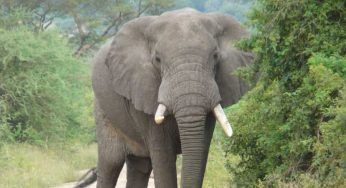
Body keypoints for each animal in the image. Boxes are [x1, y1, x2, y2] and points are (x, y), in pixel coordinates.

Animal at [89, 7, 253, 188]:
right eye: (157, 59)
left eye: (215, 56)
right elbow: (163, 155)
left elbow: (201, 150)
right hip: (102, 109)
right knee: (111, 162)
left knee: (140, 165)